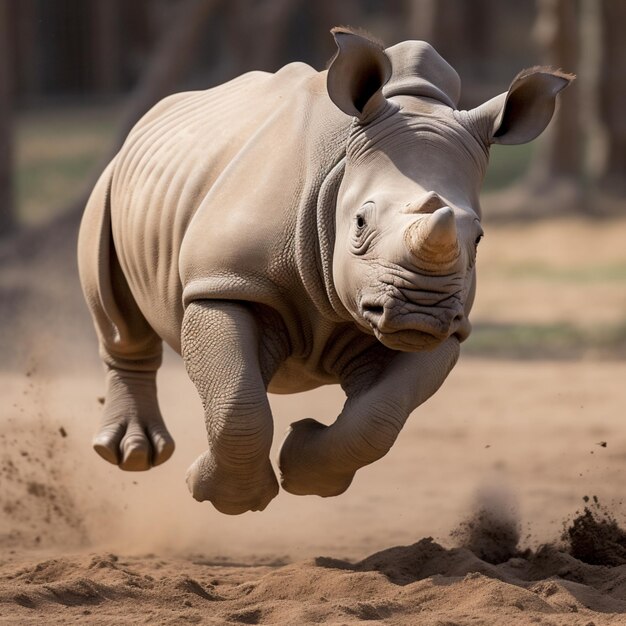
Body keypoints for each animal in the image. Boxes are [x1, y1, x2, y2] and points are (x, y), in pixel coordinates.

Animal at [77, 28, 572, 512]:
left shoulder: (450, 328)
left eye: (479, 238)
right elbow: (238, 402)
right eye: (360, 222)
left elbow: (379, 417)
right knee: (115, 307)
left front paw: (302, 467)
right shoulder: (224, 281)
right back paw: (134, 454)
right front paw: (228, 497)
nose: (421, 311)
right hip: (113, 178)